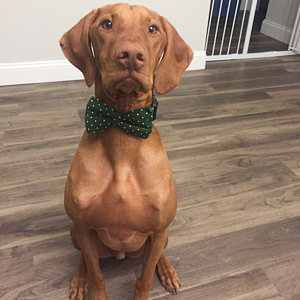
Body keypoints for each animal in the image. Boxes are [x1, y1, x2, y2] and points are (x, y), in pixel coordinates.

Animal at [60, 2, 193, 300]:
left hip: (163, 235)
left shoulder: (158, 229)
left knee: (159, 253)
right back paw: (78, 279)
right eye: (107, 24)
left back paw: (167, 271)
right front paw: (90, 285)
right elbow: (97, 276)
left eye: (152, 28)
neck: (123, 125)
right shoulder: (83, 226)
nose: (131, 55)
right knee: (84, 259)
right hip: (76, 231)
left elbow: (143, 280)